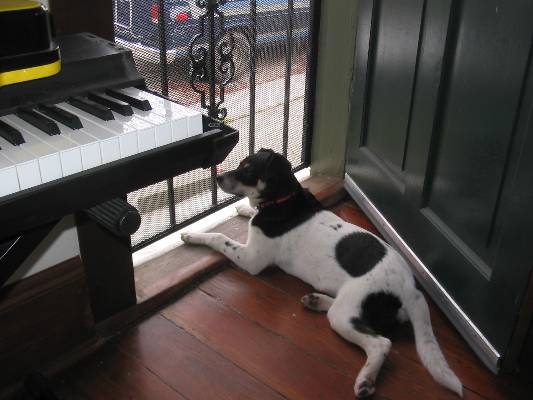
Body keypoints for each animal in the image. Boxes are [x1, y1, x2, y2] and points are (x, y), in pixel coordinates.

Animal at [181, 149, 463, 398]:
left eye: (248, 169)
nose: (217, 178)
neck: (285, 199)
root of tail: (410, 290)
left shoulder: (252, 259)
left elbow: (219, 237)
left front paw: (192, 235)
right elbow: (247, 215)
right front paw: (244, 210)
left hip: (345, 315)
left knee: (381, 343)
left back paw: (366, 381)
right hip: (346, 307)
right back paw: (316, 300)